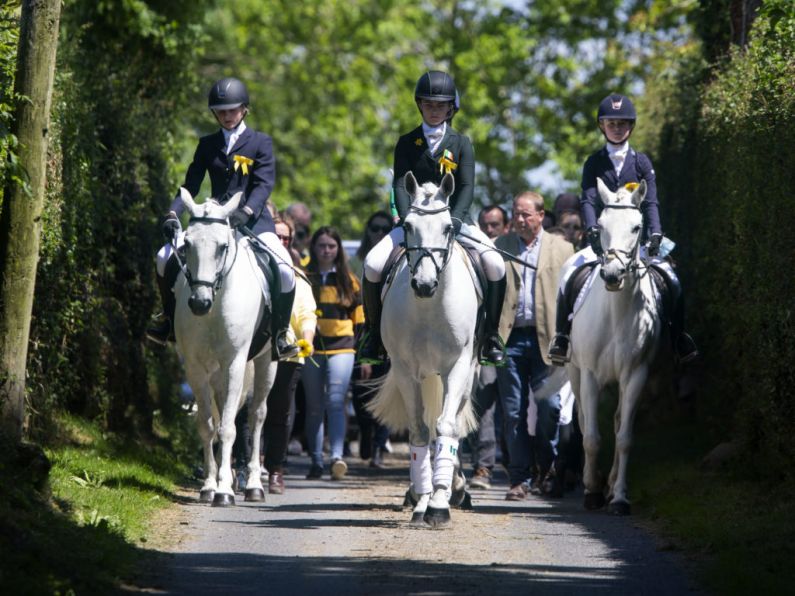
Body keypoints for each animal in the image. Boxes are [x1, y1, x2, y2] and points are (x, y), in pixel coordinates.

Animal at [173, 189, 276, 506]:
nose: (199, 303)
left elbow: (229, 427)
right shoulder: (195, 367)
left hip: (266, 362)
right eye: (186, 245)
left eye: (222, 247)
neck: (216, 303)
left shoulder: (235, 363)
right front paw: (210, 486)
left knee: (256, 416)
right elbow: (209, 426)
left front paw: (225, 492)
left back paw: (253, 485)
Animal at [368, 170, 476, 528]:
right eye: (409, 226)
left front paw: (439, 503)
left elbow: (445, 427)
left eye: (448, 228)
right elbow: (418, 431)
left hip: (466, 375)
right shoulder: (405, 370)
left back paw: (456, 487)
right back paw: (420, 492)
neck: (429, 307)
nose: (425, 285)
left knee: (452, 423)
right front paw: (422, 500)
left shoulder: (458, 366)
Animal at [568, 179, 676, 516]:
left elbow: (625, 437)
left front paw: (618, 498)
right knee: (583, 419)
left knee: (617, 422)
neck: (616, 311)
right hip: (574, 373)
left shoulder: (636, 375)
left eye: (636, 227)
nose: (613, 275)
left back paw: (611, 482)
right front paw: (591, 491)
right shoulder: (589, 374)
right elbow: (591, 436)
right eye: (600, 225)